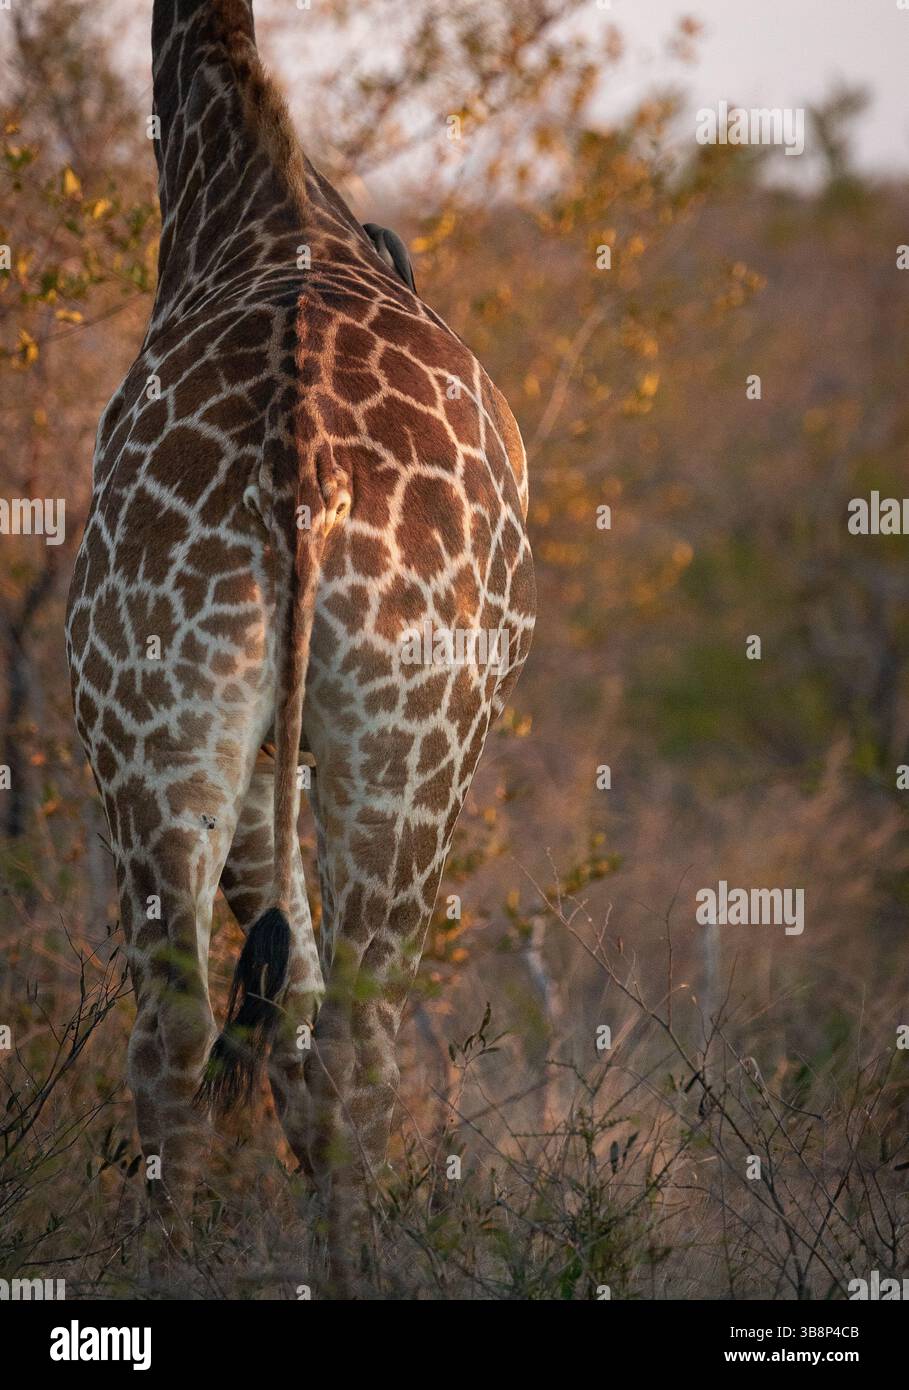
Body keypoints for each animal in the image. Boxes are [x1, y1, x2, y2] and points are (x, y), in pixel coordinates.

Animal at [65, 0, 535, 1278]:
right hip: (411, 746)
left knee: (182, 1032)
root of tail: (300, 460)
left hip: (161, 723)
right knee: (345, 1049)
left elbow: (279, 1012)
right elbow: (301, 1019)